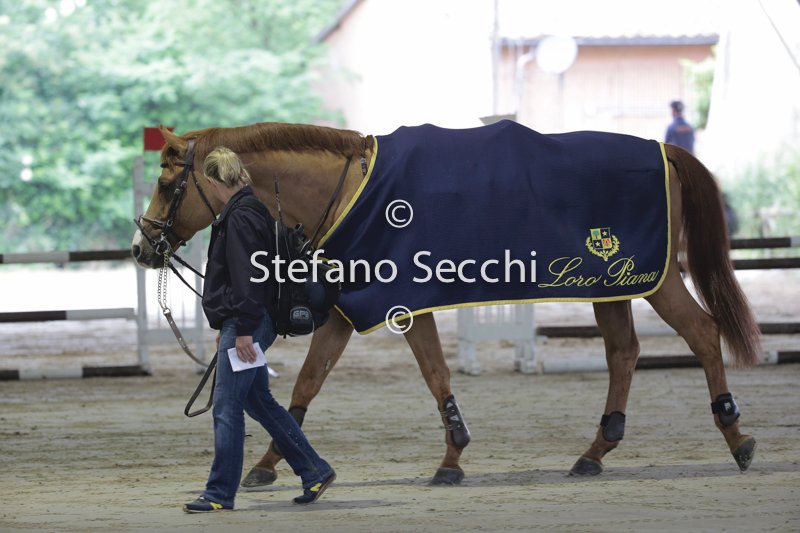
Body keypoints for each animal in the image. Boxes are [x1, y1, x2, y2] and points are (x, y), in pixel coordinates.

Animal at [131, 120, 760, 487]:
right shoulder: (346, 310)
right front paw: (268, 463)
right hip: (609, 288)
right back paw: (595, 452)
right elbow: (308, 383)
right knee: (623, 353)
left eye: (165, 184)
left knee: (702, 335)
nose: (141, 247)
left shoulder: (403, 304)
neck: (350, 189)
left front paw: (452, 458)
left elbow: (435, 374)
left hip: (655, 280)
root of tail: (665, 150)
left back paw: (736, 437)